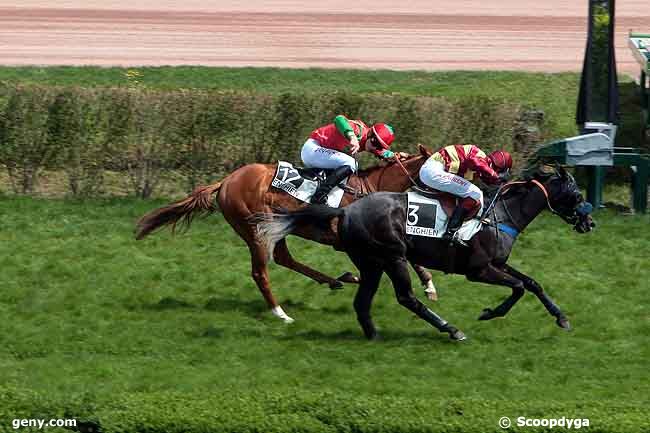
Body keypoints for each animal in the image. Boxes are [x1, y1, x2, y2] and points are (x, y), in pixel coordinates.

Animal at [135, 144, 432, 320]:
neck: (370, 188)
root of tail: (226, 181)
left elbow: (412, 255)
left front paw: (428, 284)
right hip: (256, 228)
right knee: (260, 271)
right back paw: (281, 313)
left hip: (274, 227)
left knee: (283, 258)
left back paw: (337, 280)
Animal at [253, 167, 592, 340]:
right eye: (577, 195)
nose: (590, 222)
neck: (502, 214)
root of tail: (345, 211)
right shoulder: (479, 270)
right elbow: (519, 287)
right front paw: (489, 313)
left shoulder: (498, 263)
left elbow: (533, 283)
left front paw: (562, 318)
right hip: (394, 256)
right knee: (406, 297)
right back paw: (450, 329)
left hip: (371, 263)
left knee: (363, 301)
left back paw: (372, 335)